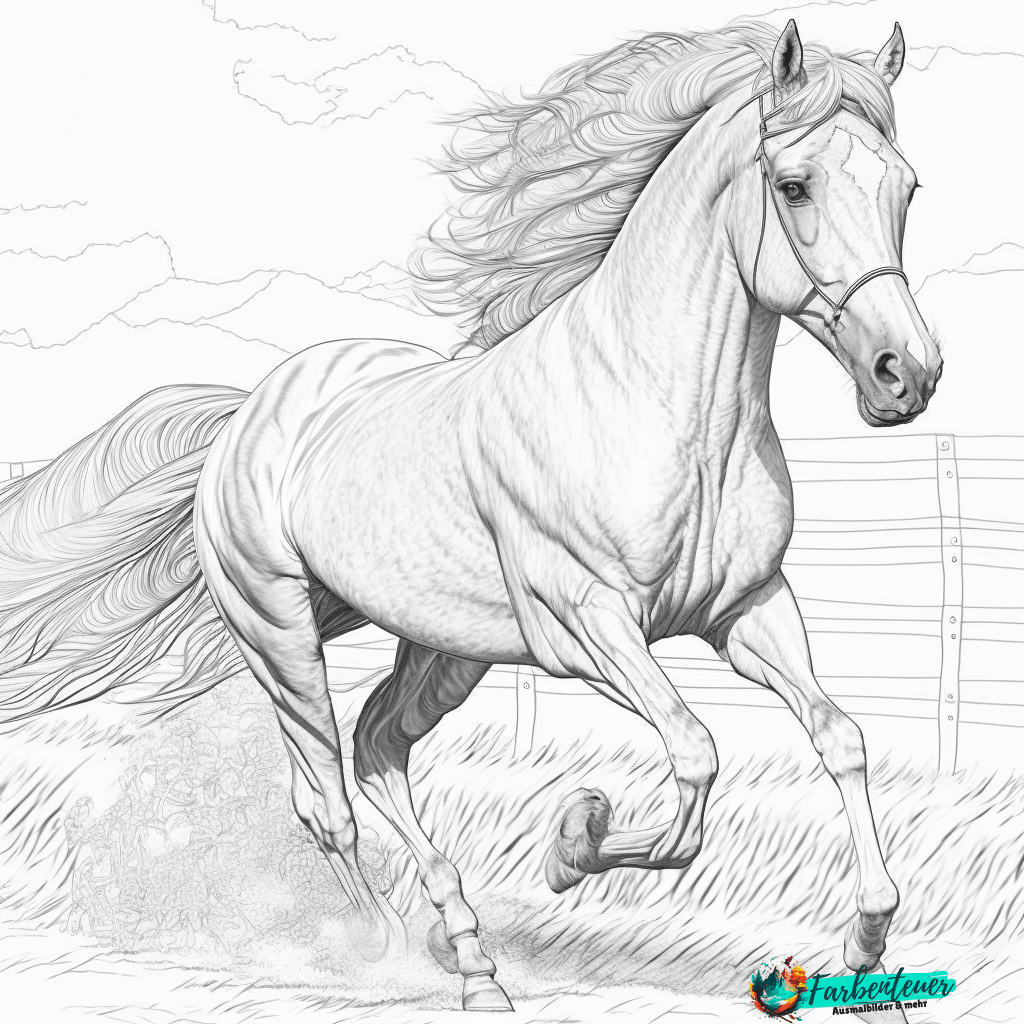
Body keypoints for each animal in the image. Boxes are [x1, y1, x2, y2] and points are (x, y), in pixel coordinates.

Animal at [0, 19, 941, 1020]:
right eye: (794, 185)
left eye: (906, 187)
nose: (907, 374)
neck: (663, 410)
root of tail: (248, 412)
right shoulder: (590, 626)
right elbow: (694, 753)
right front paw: (574, 840)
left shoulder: (749, 610)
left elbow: (840, 737)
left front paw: (868, 949)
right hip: (279, 632)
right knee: (326, 800)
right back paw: (389, 958)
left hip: (441, 648)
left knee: (377, 749)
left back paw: (473, 960)